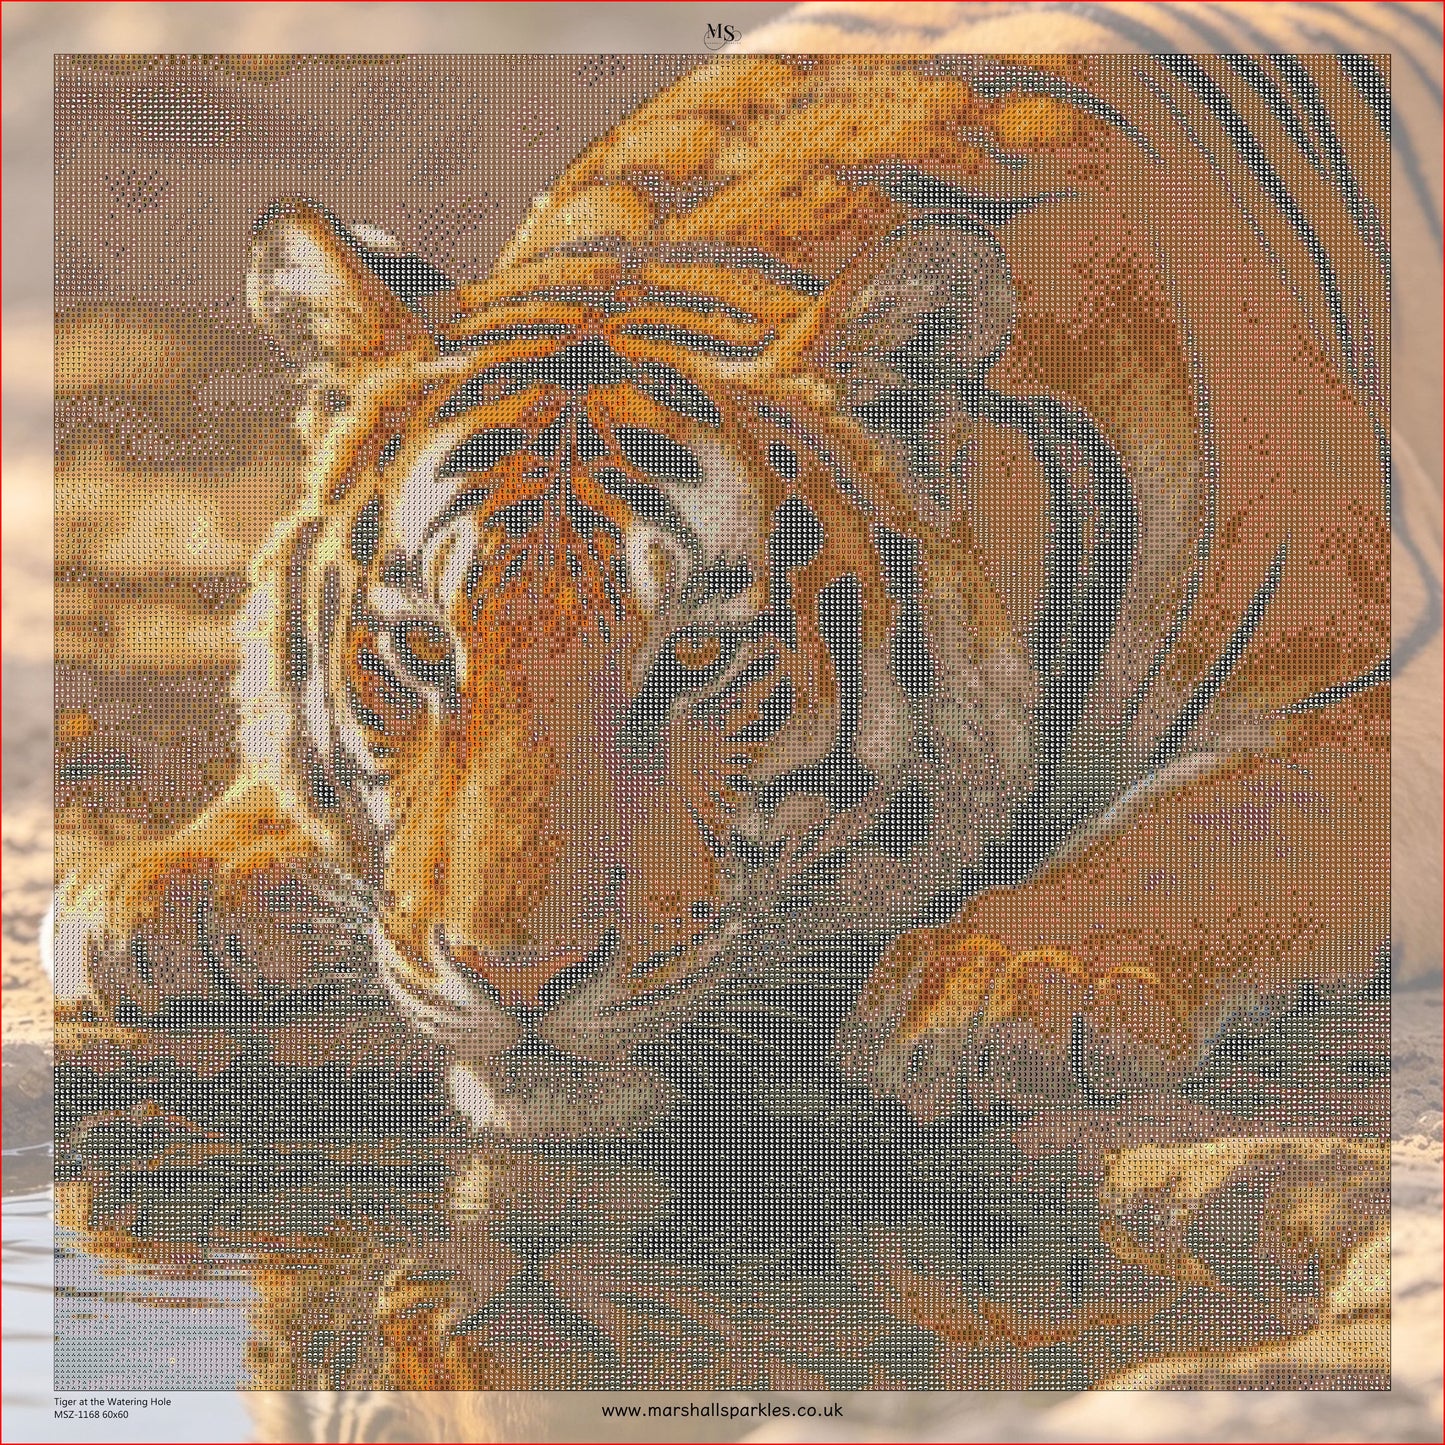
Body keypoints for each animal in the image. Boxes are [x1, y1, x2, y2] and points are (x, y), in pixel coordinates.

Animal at [56, 35, 1417, 1154]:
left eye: (695, 662)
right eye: (421, 651)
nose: (515, 980)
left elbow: (1227, 814)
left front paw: (1006, 981)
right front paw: (176, 879)